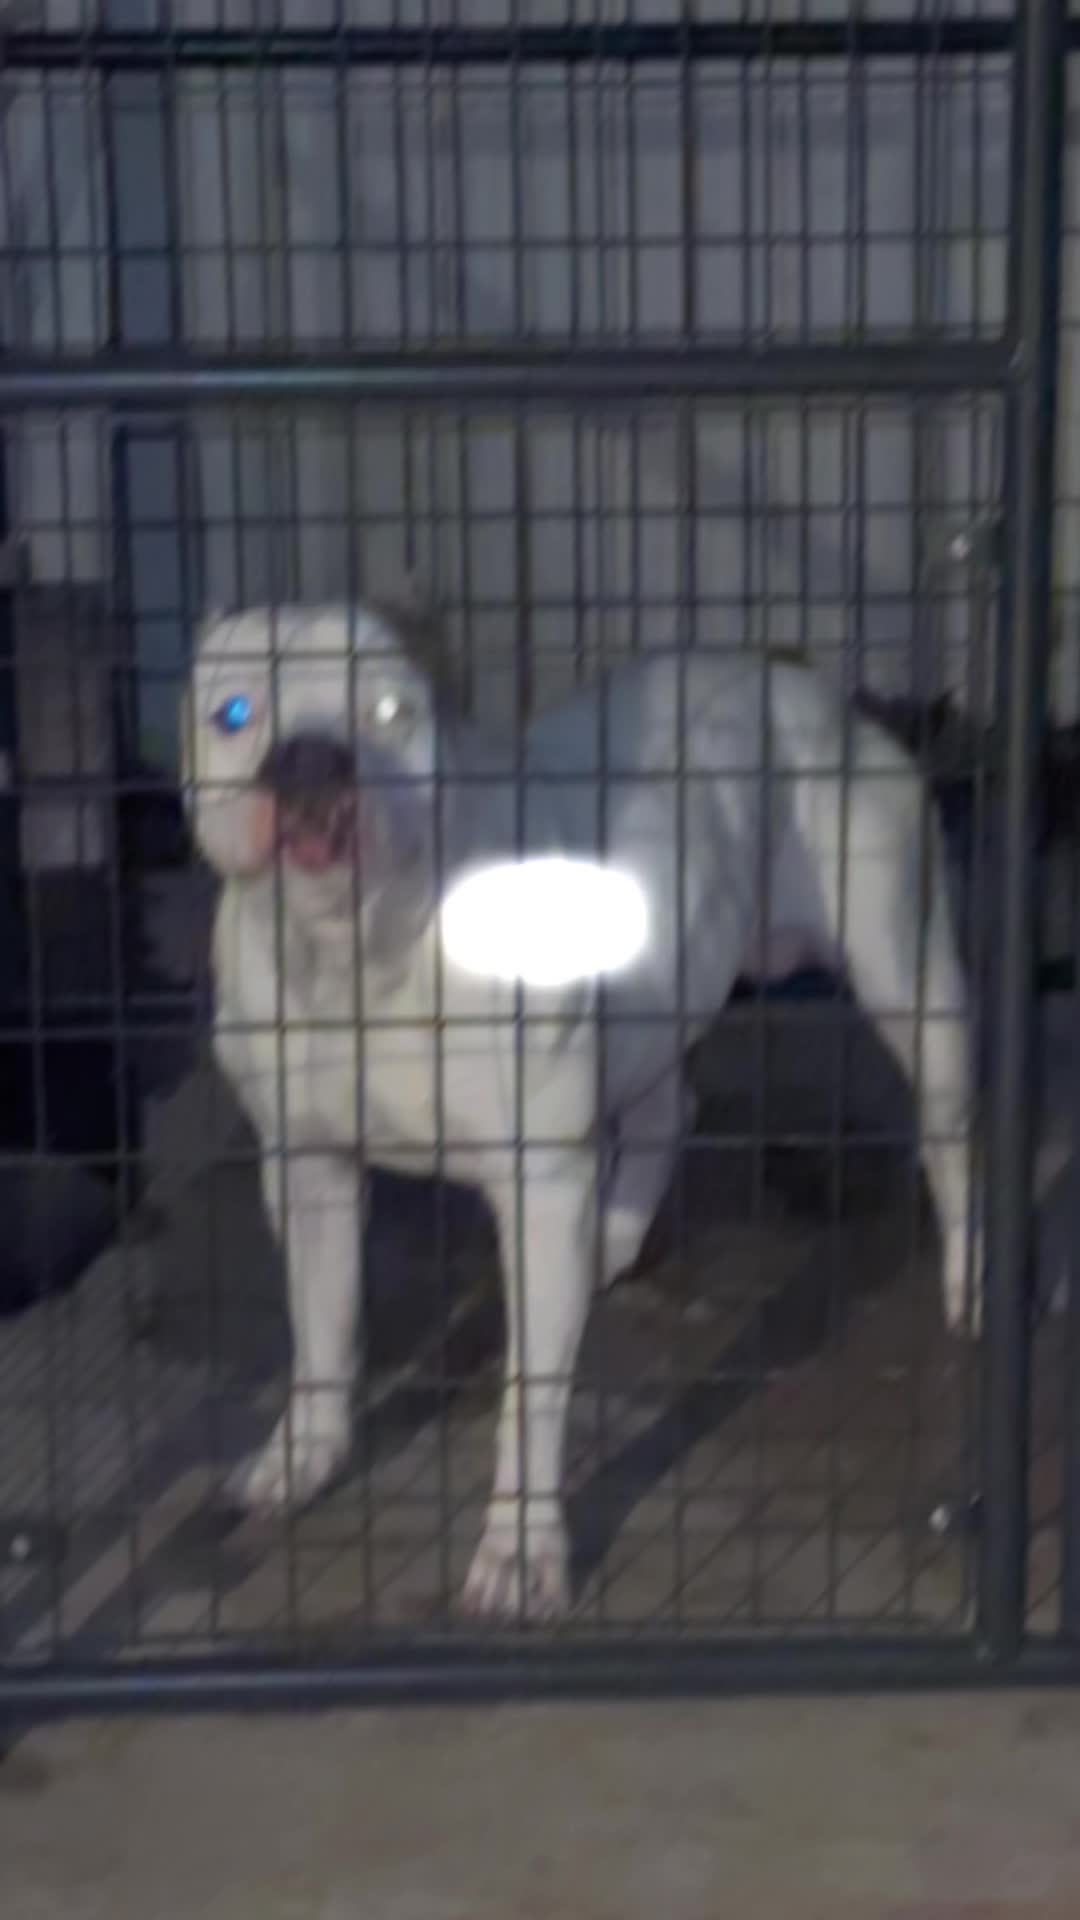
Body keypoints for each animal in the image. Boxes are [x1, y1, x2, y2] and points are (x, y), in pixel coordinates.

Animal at [183, 603, 981, 1620]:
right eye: (234, 712)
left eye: (393, 711)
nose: (312, 763)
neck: (359, 953)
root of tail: (802, 685)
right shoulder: (308, 1168)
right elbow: (320, 1325)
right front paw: (306, 1453)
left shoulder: (540, 1176)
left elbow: (530, 1395)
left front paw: (521, 1549)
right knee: (665, 1110)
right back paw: (609, 1242)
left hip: (912, 979)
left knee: (954, 1129)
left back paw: (972, 1279)